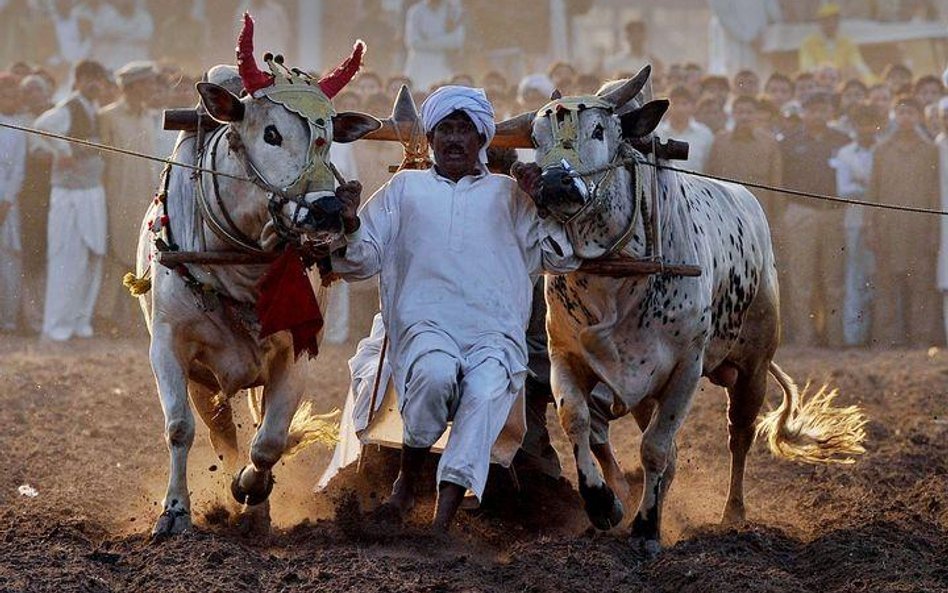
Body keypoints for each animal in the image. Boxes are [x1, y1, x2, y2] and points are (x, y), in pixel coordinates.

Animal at [504, 68, 868, 556]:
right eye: (536, 136)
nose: (555, 185)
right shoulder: (567, 356)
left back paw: (733, 513)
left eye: (599, 130)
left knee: (738, 437)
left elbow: (656, 448)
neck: (616, 272)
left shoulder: (685, 369)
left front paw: (646, 529)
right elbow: (577, 420)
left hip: (753, 368)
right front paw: (604, 505)